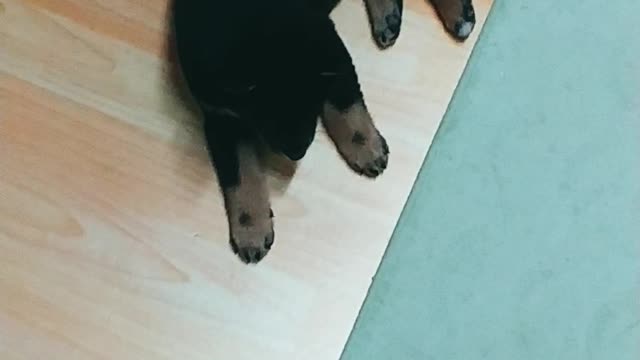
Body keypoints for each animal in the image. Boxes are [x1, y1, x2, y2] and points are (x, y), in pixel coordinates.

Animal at [172, 0, 388, 264]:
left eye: (312, 106)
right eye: (263, 119)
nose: (297, 153)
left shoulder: (331, 48)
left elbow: (345, 101)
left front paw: (365, 148)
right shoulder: (220, 115)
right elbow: (241, 172)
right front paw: (251, 228)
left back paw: (387, 19)